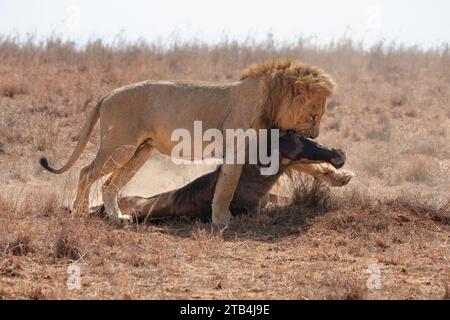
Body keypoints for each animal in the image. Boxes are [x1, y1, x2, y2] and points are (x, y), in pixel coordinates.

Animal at [40, 58, 336, 228]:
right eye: (313, 115)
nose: (314, 134)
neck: (271, 102)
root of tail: (107, 94)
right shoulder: (237, 150)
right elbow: (225, 188)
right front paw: (221, 220)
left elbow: (308, 164)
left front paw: (337, 174)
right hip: (119, 146)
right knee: (86, 172)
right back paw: (79, 212)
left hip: (140, 151)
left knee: (109, 184)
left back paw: (116, 218)